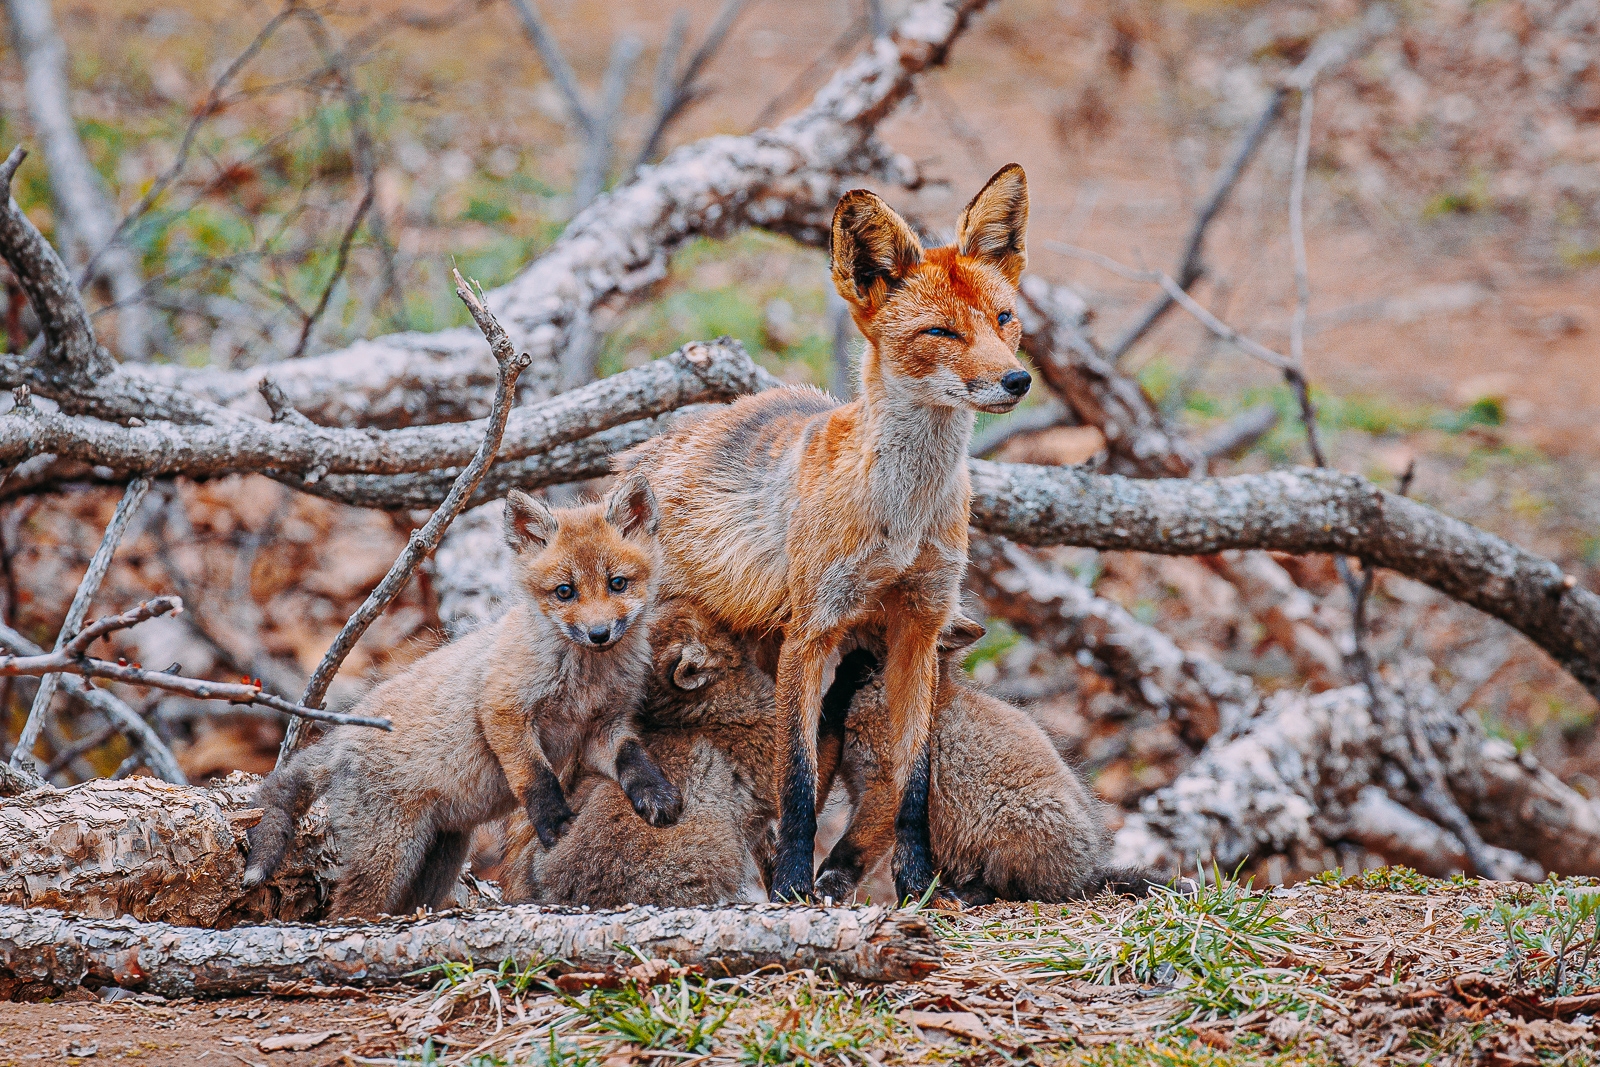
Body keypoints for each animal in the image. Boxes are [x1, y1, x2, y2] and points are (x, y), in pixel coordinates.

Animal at [241, 477, 683, 918]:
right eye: (564, 592)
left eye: (617, 583)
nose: (599, 634)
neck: (586, 681)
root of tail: (338, 737)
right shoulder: (503, 710)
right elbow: (535, 777)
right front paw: (555, 822)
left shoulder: (600, 729)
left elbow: (632, 758)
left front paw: (655, 793)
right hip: (388, 853)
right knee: (348, 911)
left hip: (441, 856)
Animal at [621, 164, 1034, 901]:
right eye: (942, 332)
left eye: (1003, 319)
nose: (1017, 379)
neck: (900, 519)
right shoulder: (810, 633)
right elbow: (797, 778)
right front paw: (791, 883)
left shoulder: (918, 628)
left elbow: (913, 778)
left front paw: (917, 881)